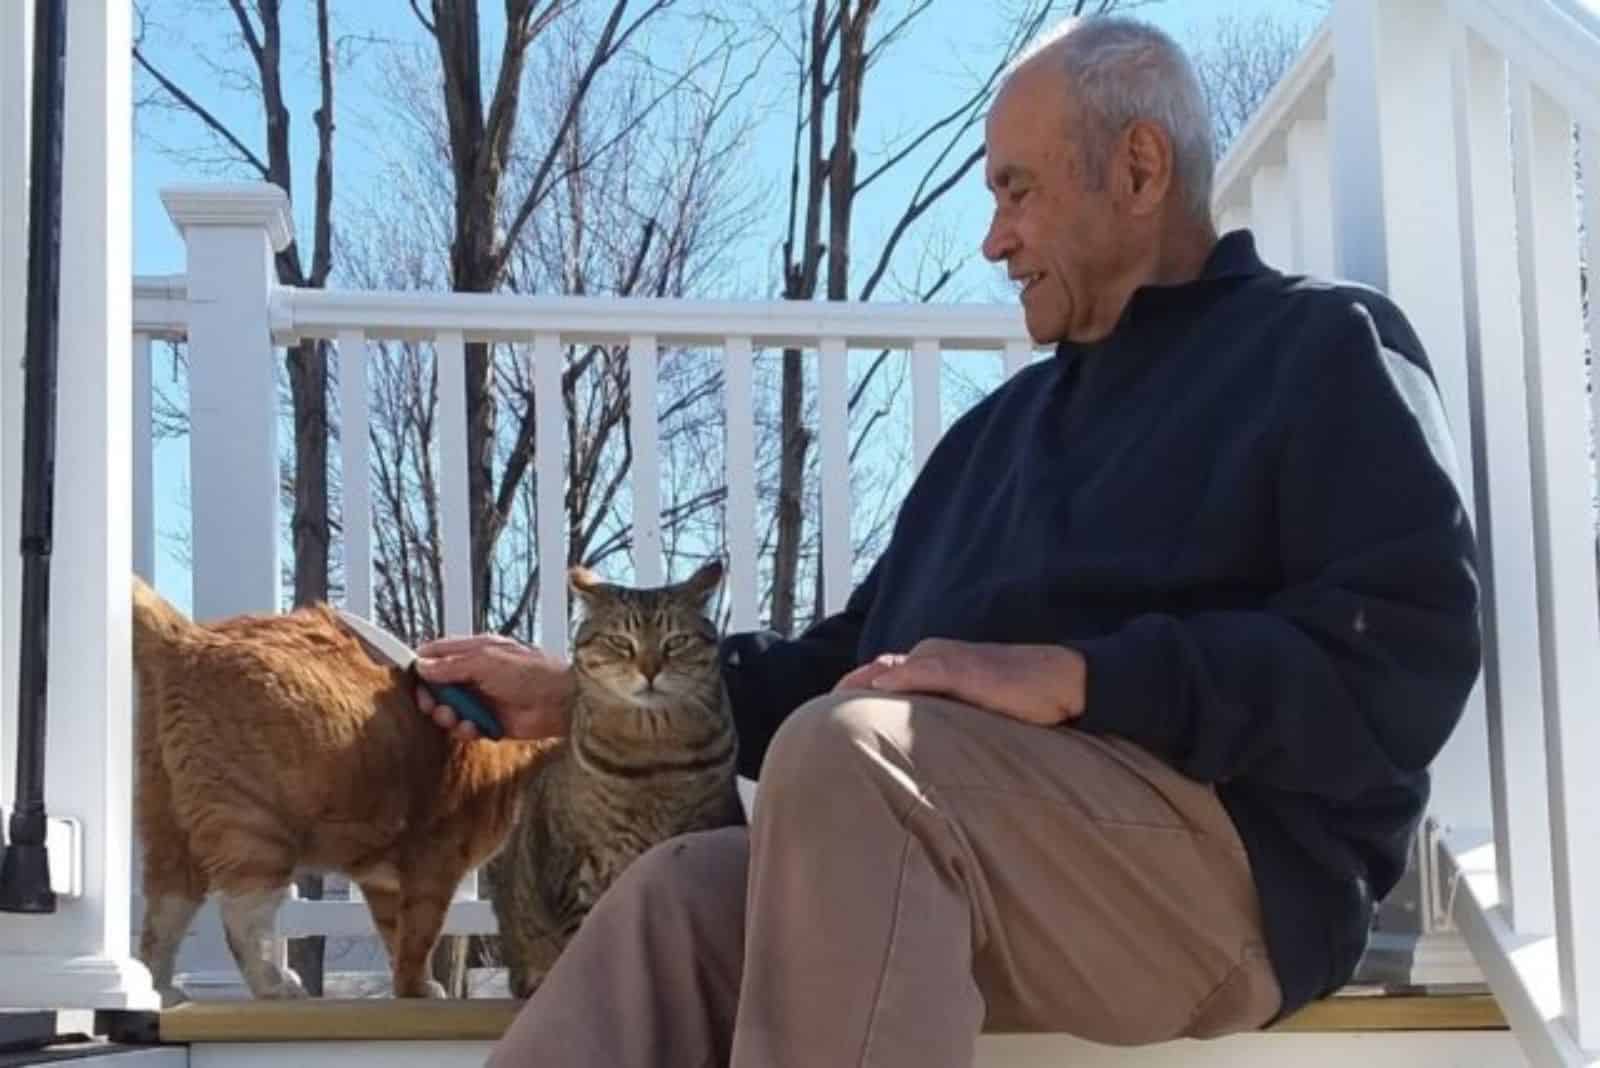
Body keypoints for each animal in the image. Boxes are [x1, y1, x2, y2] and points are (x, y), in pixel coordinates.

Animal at [128, 575, 550, 1004]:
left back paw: (161, 990)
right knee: (242, 921)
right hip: (254, 831)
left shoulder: (382, 883)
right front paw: (415, 989)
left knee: (162, 918)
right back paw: (277, 985)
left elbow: (395, 936)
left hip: (169, 830)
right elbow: (417, 941)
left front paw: (413, 984)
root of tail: (188, 637)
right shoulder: (433, 870)